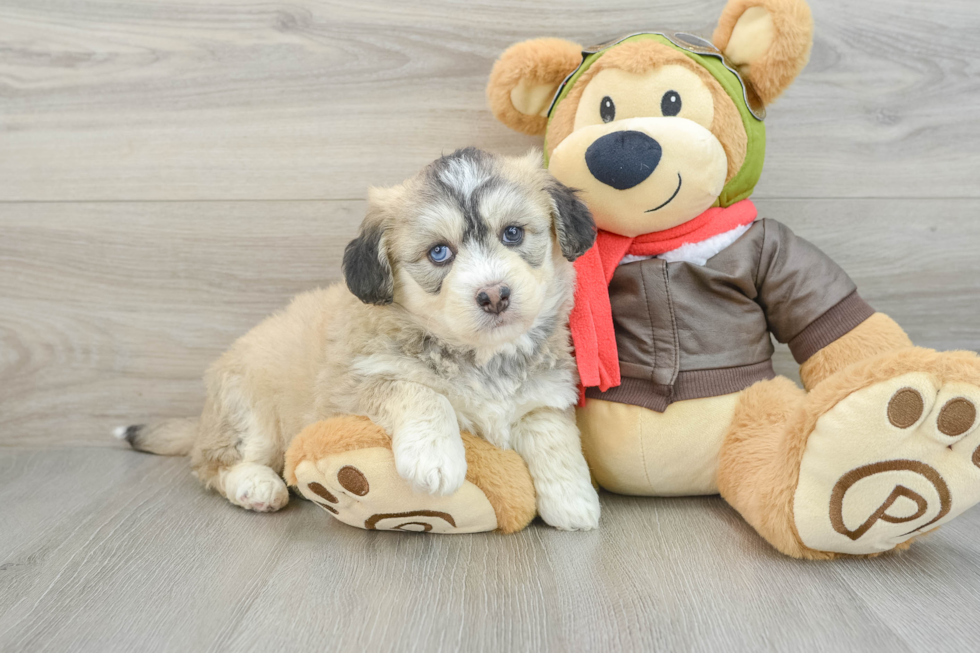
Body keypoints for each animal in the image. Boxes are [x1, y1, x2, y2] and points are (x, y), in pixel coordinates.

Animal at [119, 146, 600, 528]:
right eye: (439, 253)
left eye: (513, 233)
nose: (495, 295)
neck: (480, 357)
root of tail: (203, 419)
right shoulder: (352, 387)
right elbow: (422, 392)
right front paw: (435, 457)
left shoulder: (544, 396)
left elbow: (552, 436)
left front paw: (573, 500)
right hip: (251, 414)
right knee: (212, 463)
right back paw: (256, 486)